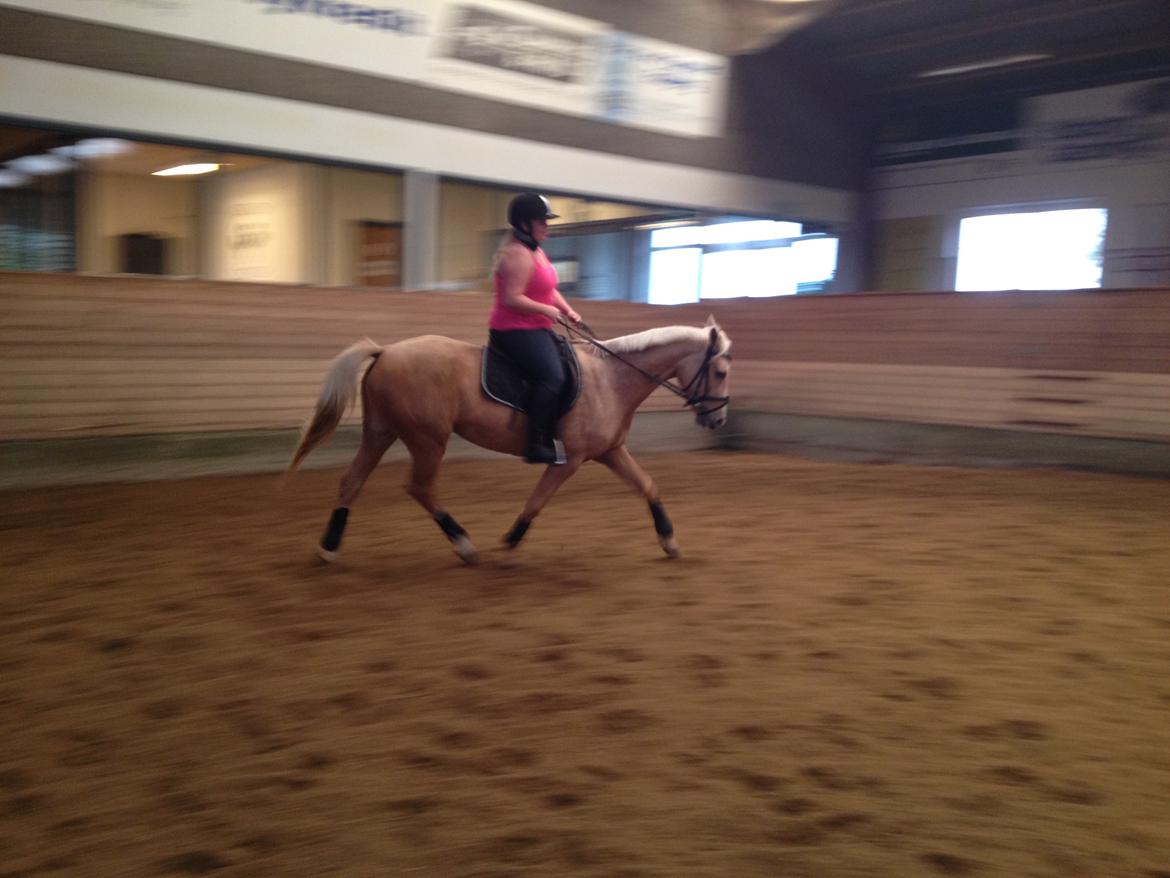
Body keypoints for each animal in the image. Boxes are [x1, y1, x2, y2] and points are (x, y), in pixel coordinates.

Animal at [287, 316, 730, 564]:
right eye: (722, 372)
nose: (719, 418)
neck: (611, 380)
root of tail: (385, 352)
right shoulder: (569, 460)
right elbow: (536, 501)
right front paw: (511, 540)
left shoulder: (610, 452)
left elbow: (648, 485)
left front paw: (669, 541)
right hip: (427, 439)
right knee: (420, 486)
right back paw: (465, 545)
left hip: (381, 432)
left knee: (352, 481)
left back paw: (329, 548)